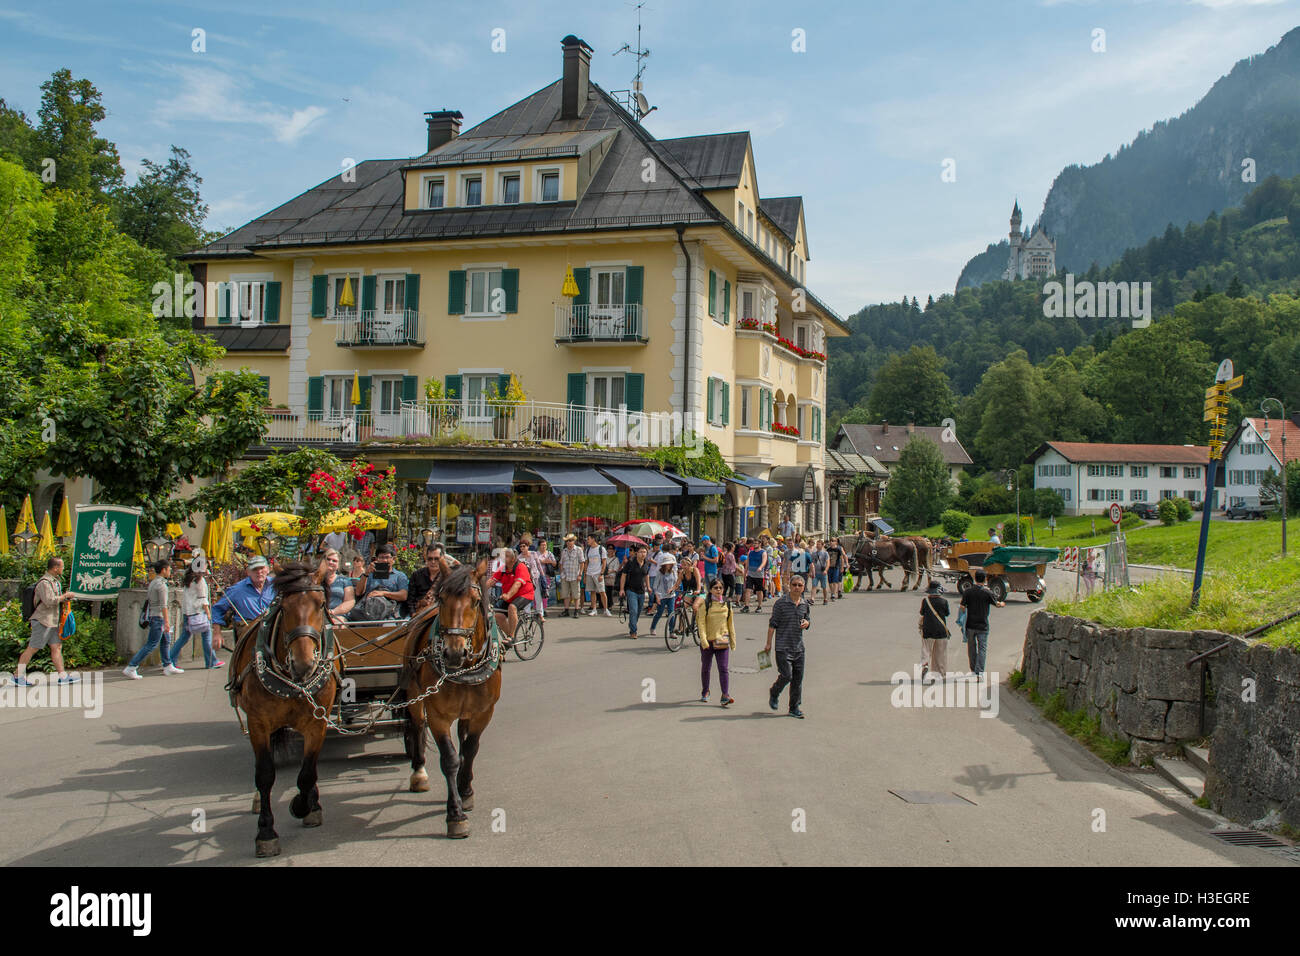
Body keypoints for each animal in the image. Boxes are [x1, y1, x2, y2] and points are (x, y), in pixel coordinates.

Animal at [228, 561, 340, 858]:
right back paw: (259, 801)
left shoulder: (318, 721)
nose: (304, 664)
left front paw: (304, 806)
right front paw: (266, 832)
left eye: (321, 604)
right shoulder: (257, 723)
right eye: (284, 606)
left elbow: (307, 772)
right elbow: (265, 775)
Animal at [397, 556, 499, 842]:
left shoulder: (484, 711)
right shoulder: (438, 715)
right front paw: (455, 816)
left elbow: (470, 749)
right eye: (443, 599)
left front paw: (466, 791)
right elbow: (449, 759)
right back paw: (419, 773)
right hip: (415, 696)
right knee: (418, 727)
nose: (453, 652)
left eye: (475, 601)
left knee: (463, 739)